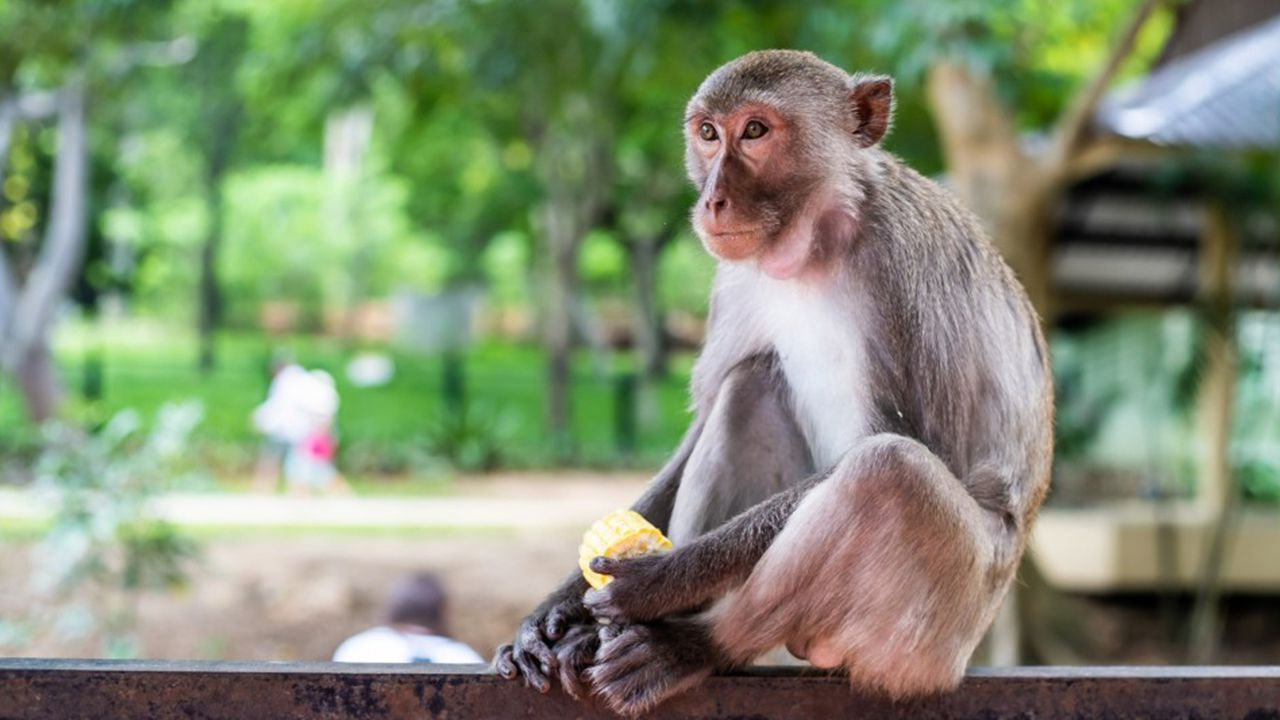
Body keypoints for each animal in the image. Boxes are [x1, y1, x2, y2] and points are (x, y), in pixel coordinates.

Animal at [493, 49, 1053, 717]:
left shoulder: (903, 268)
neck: (814, 243)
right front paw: (558, 611)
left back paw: (694, 645)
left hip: (940, 629)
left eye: (755, 131)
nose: (713, 200)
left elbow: (918, 446)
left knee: (889, 473)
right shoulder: (733, 279)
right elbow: (707, 418)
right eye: (709, 134)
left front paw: (664, 579)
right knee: (751, 385)